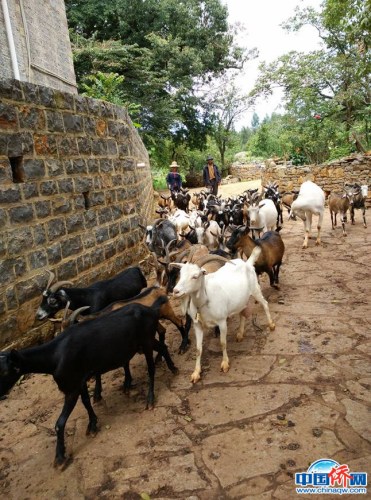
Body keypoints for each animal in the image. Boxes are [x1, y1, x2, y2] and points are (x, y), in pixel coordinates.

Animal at [0, 296, 174, 464]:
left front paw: (60, 458)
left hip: (146, 341)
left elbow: (60, 423)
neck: (55, 356)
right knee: (163, 347)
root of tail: (152, 310)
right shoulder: (80, 380)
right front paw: (92, 425)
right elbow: (85, 401)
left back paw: (150, 400)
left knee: (151, 368)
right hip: (145, 341)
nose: (1, 394)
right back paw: (173, 368)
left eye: (5, 371)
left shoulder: (71, 388)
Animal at [173, 248, 274, 384]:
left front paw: (225, 364)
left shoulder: (222, 321)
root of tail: (247, 263)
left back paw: (271, 325)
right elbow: (198, 349)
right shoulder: (197, 325)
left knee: (265, 304)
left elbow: (223, 343)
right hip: (242, 300)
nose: (175, 291)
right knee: (243, 313)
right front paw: (196, 373)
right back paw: (240, 334)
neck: (205, 299)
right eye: (181, 273)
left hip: (255, 289)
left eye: (195, 276)